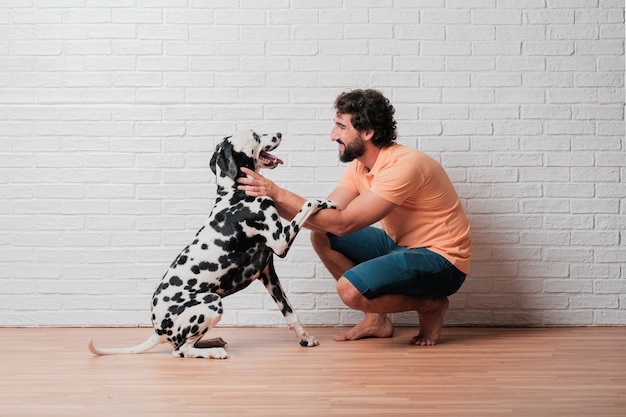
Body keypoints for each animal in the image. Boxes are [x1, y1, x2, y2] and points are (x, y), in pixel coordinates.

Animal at [88, 131, 336, 358]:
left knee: (187, 344)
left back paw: (213, 341)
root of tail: (158, 330)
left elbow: (290, 313)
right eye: (256, 135)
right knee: (180, 350)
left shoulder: (268, 274)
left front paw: (305, 338)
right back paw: (215, 351)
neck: (236, 193)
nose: (279, 133)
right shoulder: (281, 241)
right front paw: (328, 202)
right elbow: (308, 202)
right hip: (212, 302)